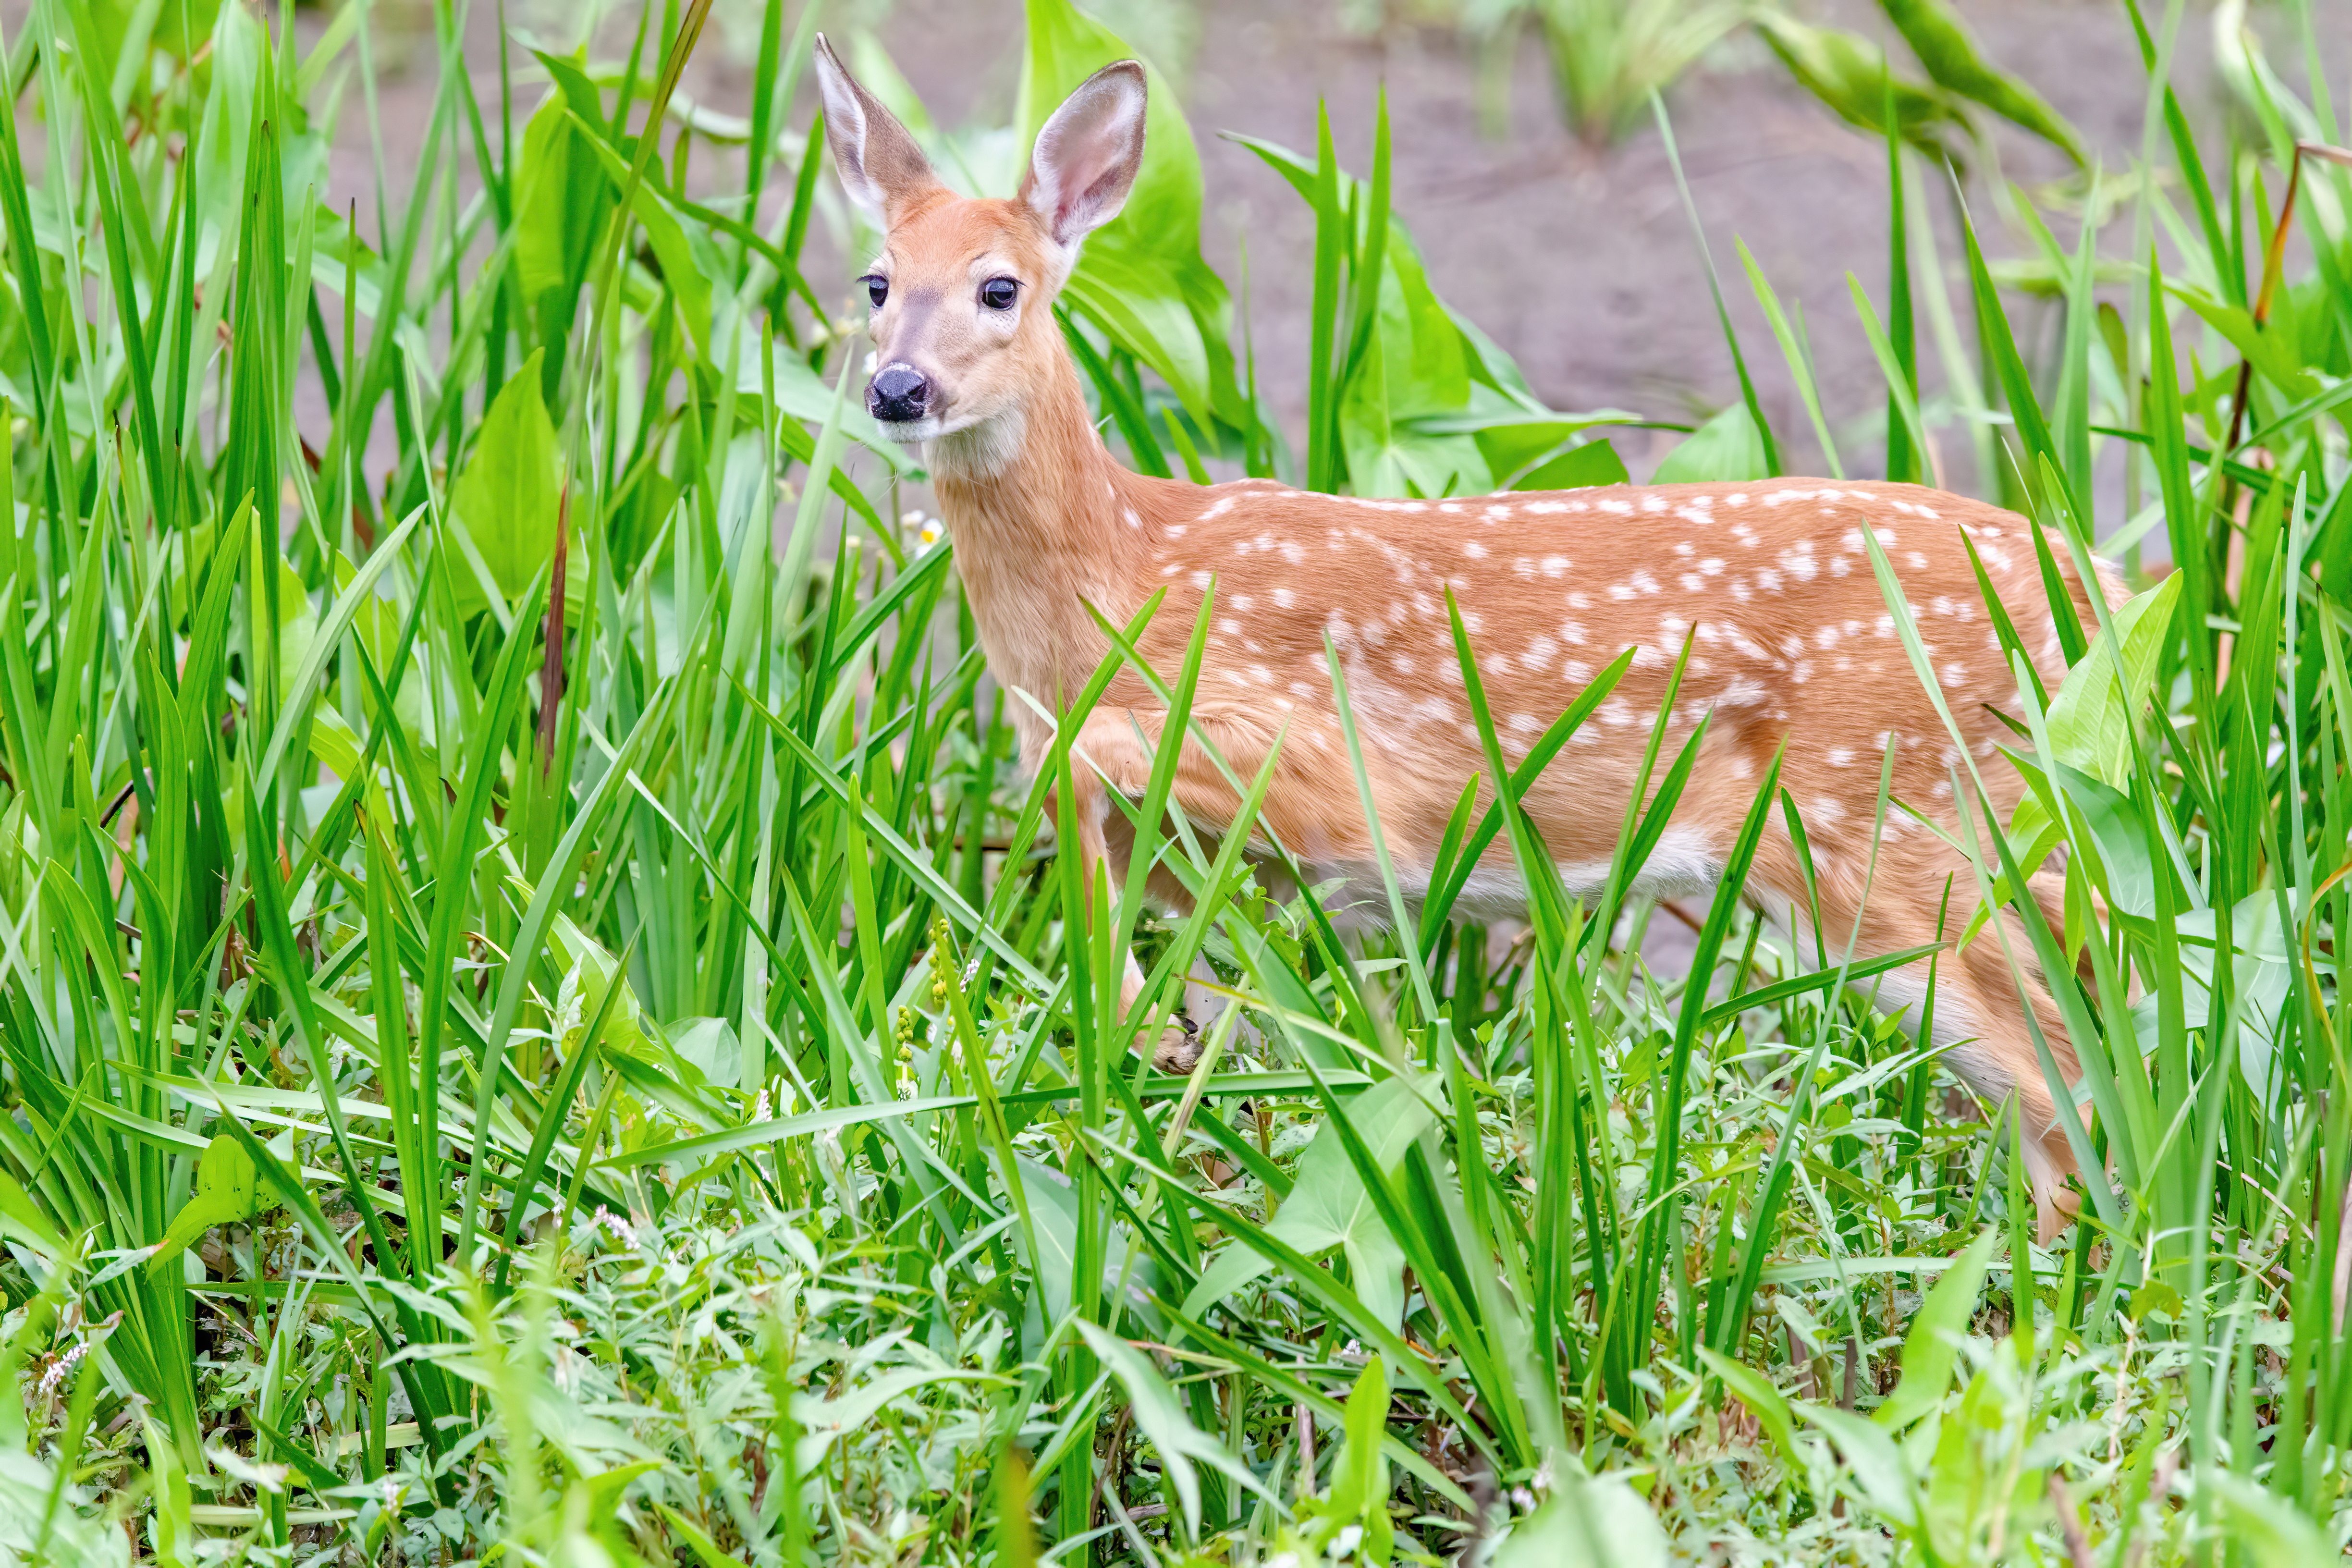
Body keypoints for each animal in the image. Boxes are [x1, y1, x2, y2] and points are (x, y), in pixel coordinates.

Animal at [809, 37, 2122, 1238]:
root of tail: (2087, 582)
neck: (1127, 575)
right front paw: (1147, 1031)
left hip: (1877, 822)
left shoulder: (1342, 781)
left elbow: (1092, 764)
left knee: (2060, 1074)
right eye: (877, 282)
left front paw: (1128, 1009)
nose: (898, 390)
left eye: (1000, 287)